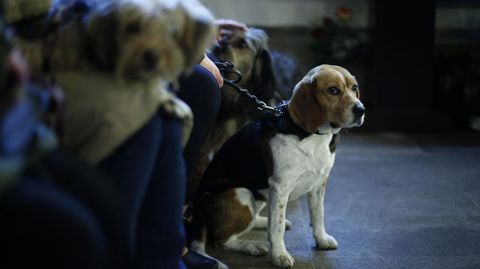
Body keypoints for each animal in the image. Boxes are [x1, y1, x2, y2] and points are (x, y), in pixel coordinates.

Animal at [189, 63, 366, 266]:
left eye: (354, 87)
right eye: (333, 90)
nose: (361, 110)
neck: (312, 136)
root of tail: (198, 212)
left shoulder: (319, 184)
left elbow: (318, 214)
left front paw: (321, 238)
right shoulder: (280, 188)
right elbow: (277, 226)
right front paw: (280, 255)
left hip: (259, 197)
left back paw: (260, 224)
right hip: (242, 194)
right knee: (222, 239)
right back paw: (252, 246)